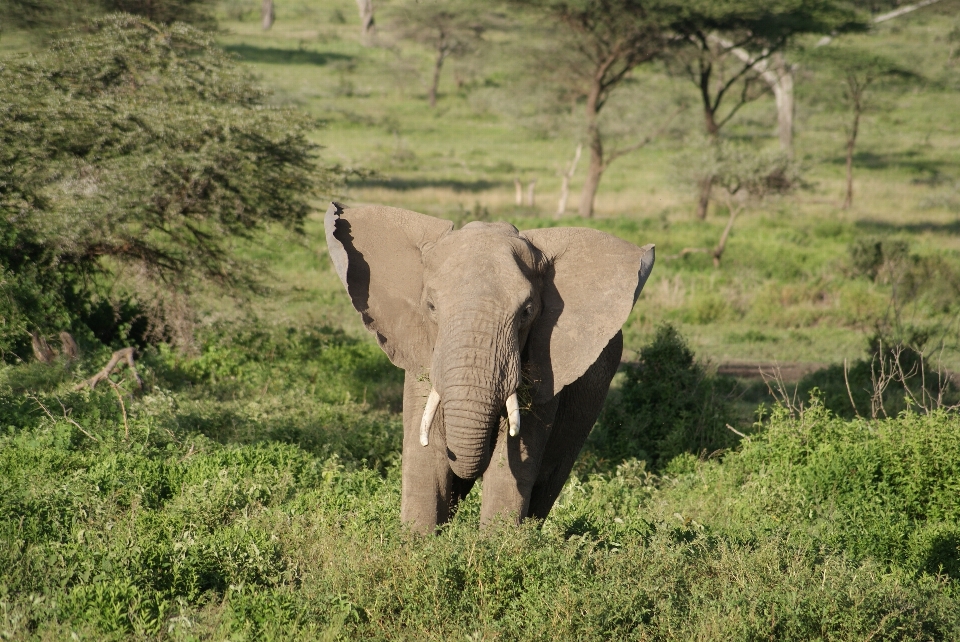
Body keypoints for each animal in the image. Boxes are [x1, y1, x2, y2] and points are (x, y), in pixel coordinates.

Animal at [324, 201, 652, 528]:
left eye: (527, 312)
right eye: (431, 307)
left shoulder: (547, 367)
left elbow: (515, 460)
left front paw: (499, 541)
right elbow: (426, 454)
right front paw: (416, 538)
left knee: (549, 481)